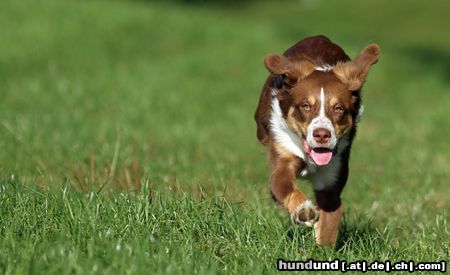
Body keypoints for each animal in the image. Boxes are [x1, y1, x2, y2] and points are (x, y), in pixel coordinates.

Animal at [253, 35, 380, 248]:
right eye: (305, 106)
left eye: (338, 108)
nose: (322, 134)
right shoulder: (283, 155)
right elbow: (281, 183)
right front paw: (303, 210)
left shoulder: (331, 179)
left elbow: (329, 219)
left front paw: (322, 249)